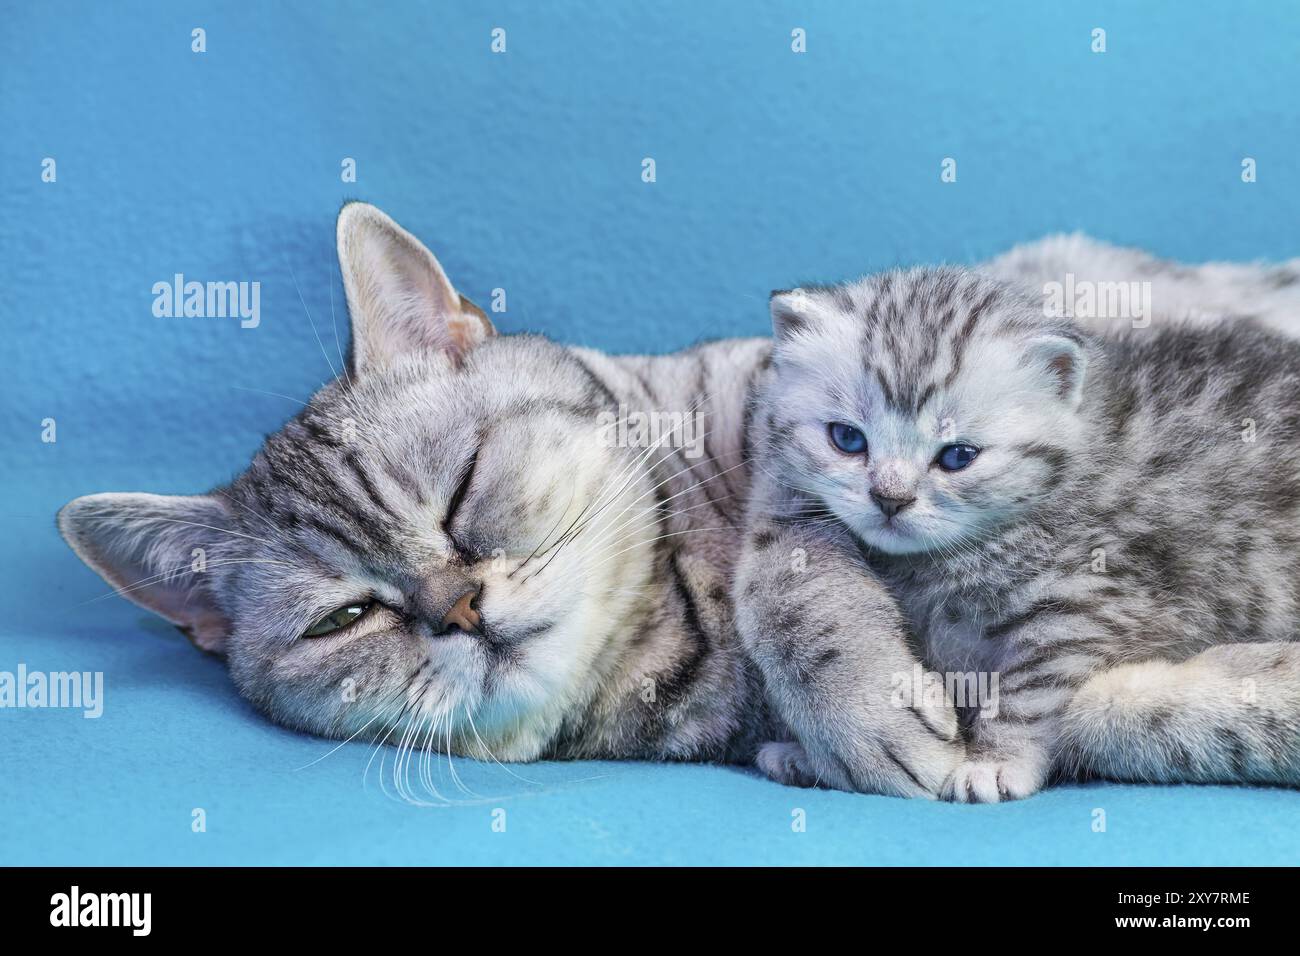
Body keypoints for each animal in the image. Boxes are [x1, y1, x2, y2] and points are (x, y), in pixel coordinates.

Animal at [738, 265, 1300, 806]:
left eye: (958, 456)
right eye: (847, 438)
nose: (890, 498)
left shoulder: (1086, 602)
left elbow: (1028, 692)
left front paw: (996, 763)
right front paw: (807, 755)